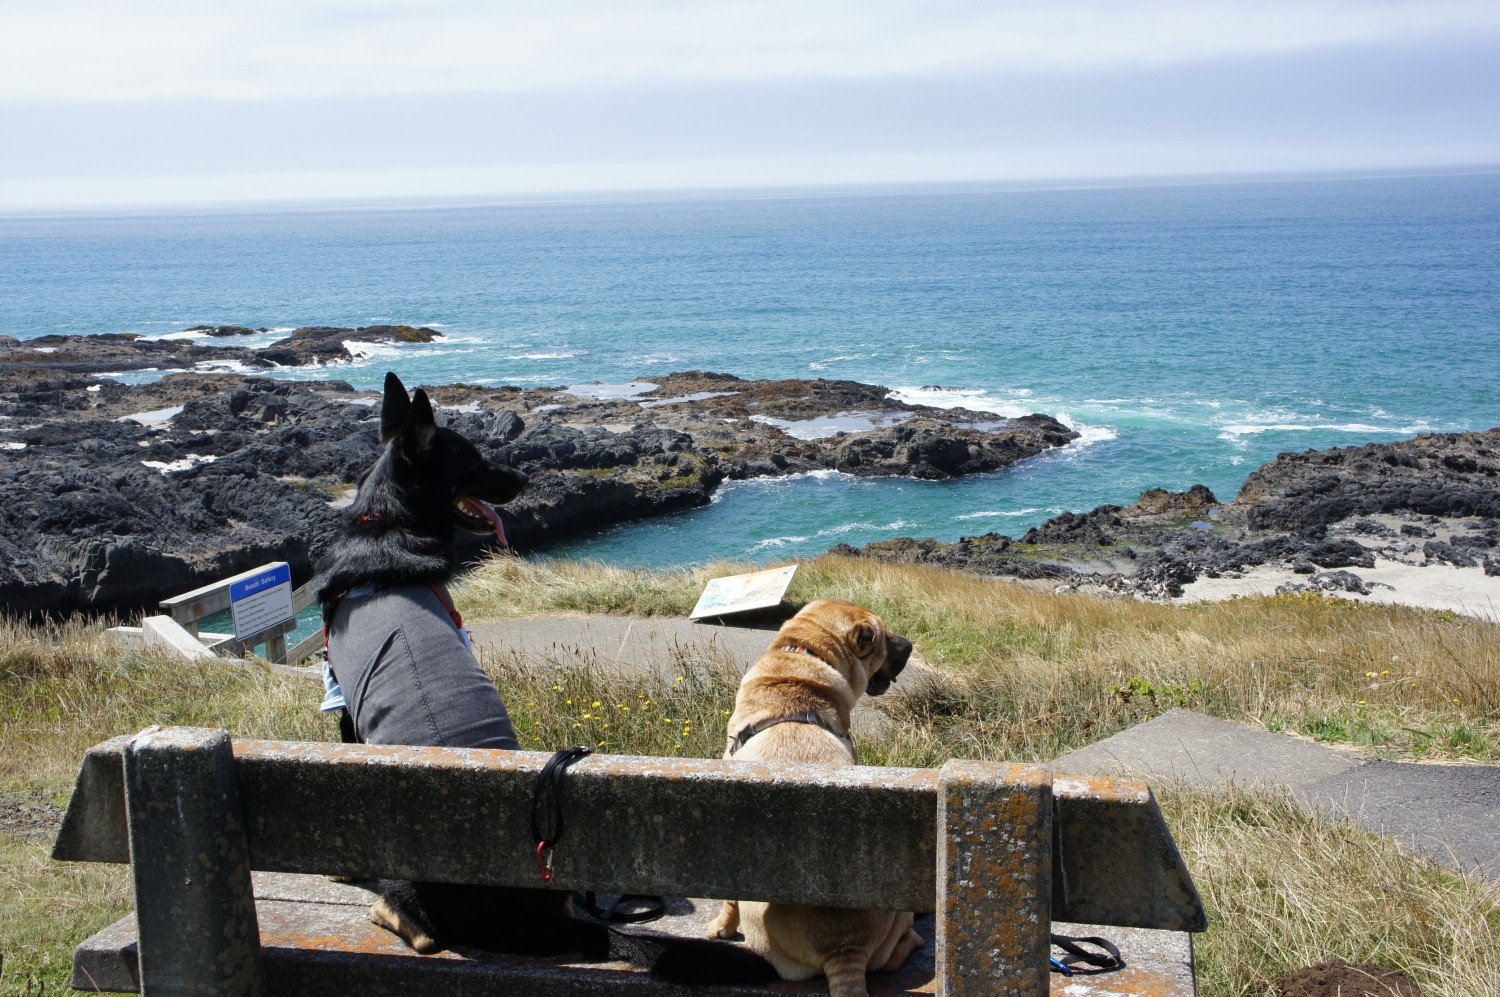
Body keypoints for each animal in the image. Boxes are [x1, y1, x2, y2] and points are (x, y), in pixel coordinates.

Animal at [307, 371, 774, 977]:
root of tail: (533, 921)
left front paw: (344, 863)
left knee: (423, 932)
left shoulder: (342, 701)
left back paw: (384, 907)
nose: (526, 477)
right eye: (474, 459)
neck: (385, 522)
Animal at [708, 593, 918, 989]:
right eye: (885, 639)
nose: (911, 644)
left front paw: (722, 927)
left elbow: (729, 900)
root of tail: (844, 948)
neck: (804, 660)